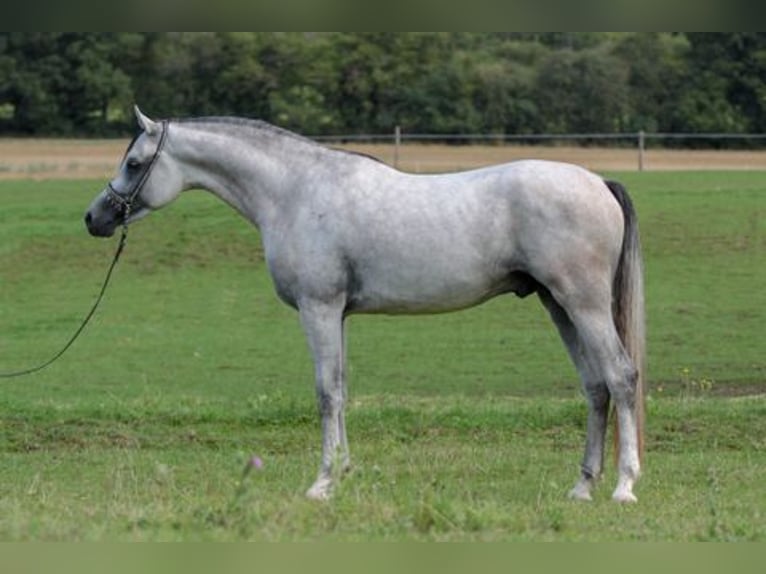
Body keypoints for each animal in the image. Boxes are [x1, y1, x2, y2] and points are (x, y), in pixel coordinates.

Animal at [85, 108, 648, 504]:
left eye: (134, 163)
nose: (95, 218)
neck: (294, 191)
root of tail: (598, 182)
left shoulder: (318, 309)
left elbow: (325, 393)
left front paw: (321, 483)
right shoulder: (338, 314)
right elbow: (341, 390)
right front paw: (344, 474)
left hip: (583, 303)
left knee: (620, 377)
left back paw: (623, 486)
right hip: (558, 305)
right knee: (595, 387)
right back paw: (581, 487)